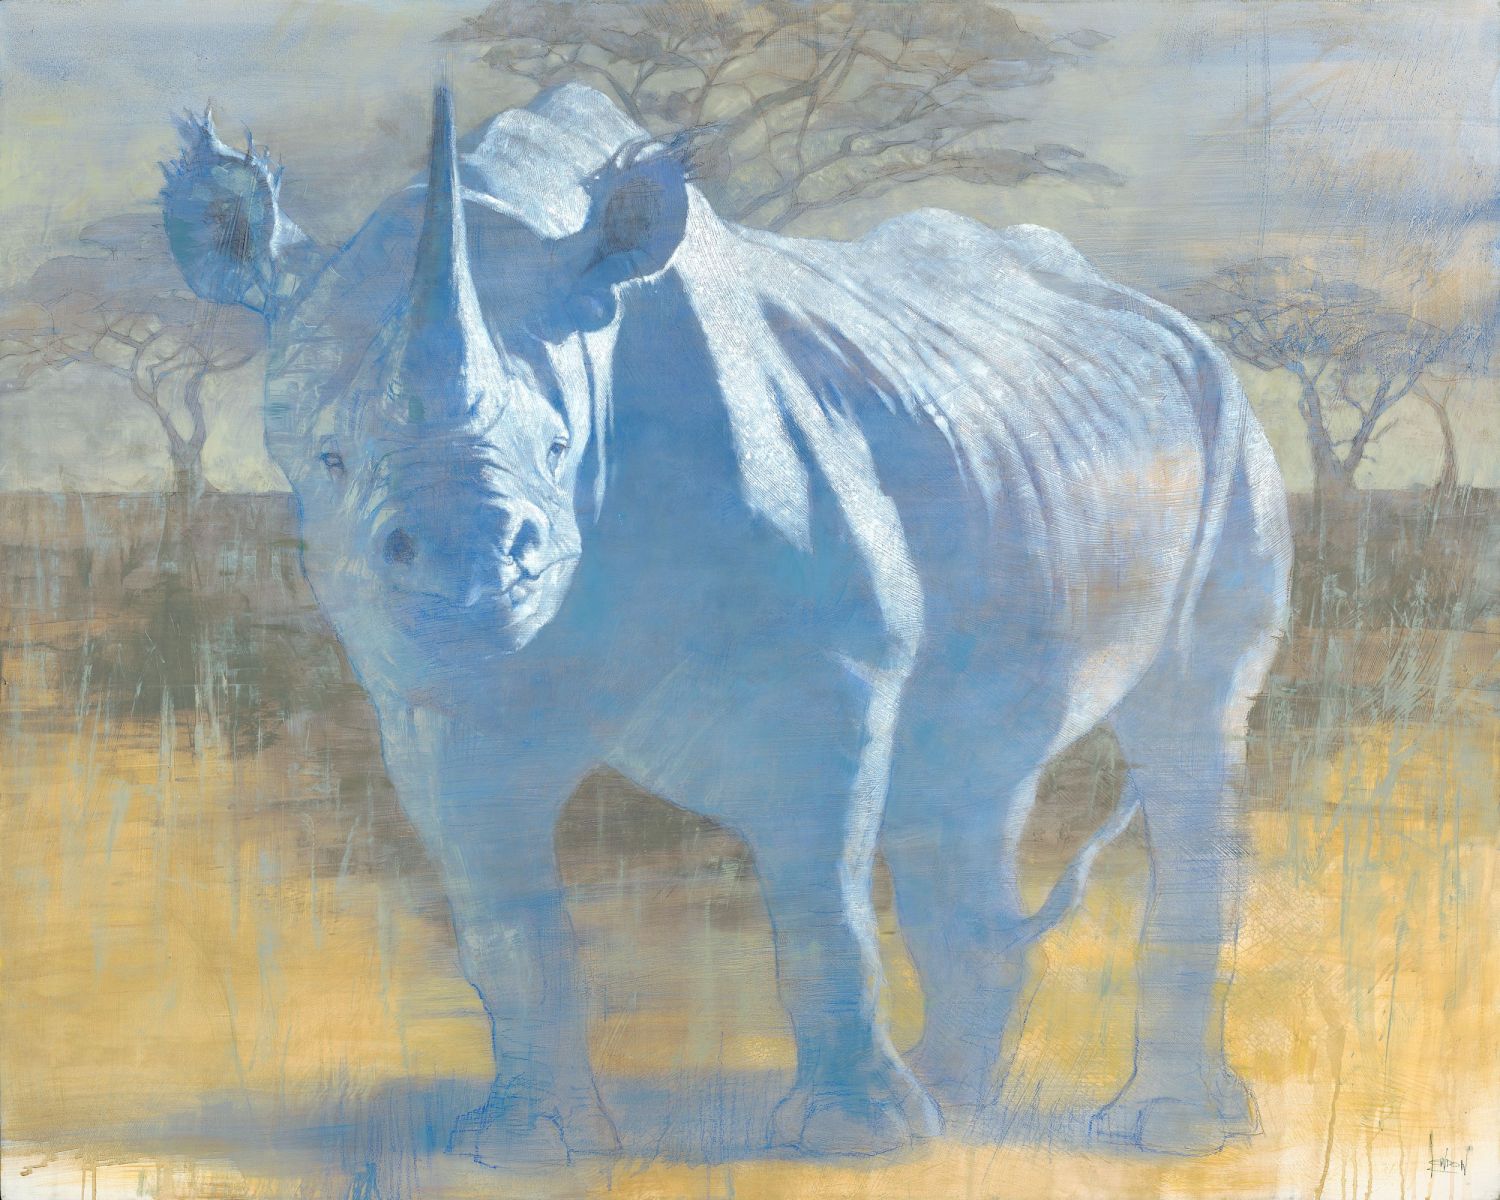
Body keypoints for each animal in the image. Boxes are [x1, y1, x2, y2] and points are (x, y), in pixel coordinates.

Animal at [160, 83, 1291, 1165]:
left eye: (560, 446)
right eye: (330, 460)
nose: (467, 564)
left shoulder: (828, 666)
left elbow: (818, 894)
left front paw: (856, 1141)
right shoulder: (436, 698)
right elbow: (504, 913)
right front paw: (532, 1146)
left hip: (1231, 430)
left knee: (1190, 725)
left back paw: (1162, 1130)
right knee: (972, 762)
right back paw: (960, 1100)